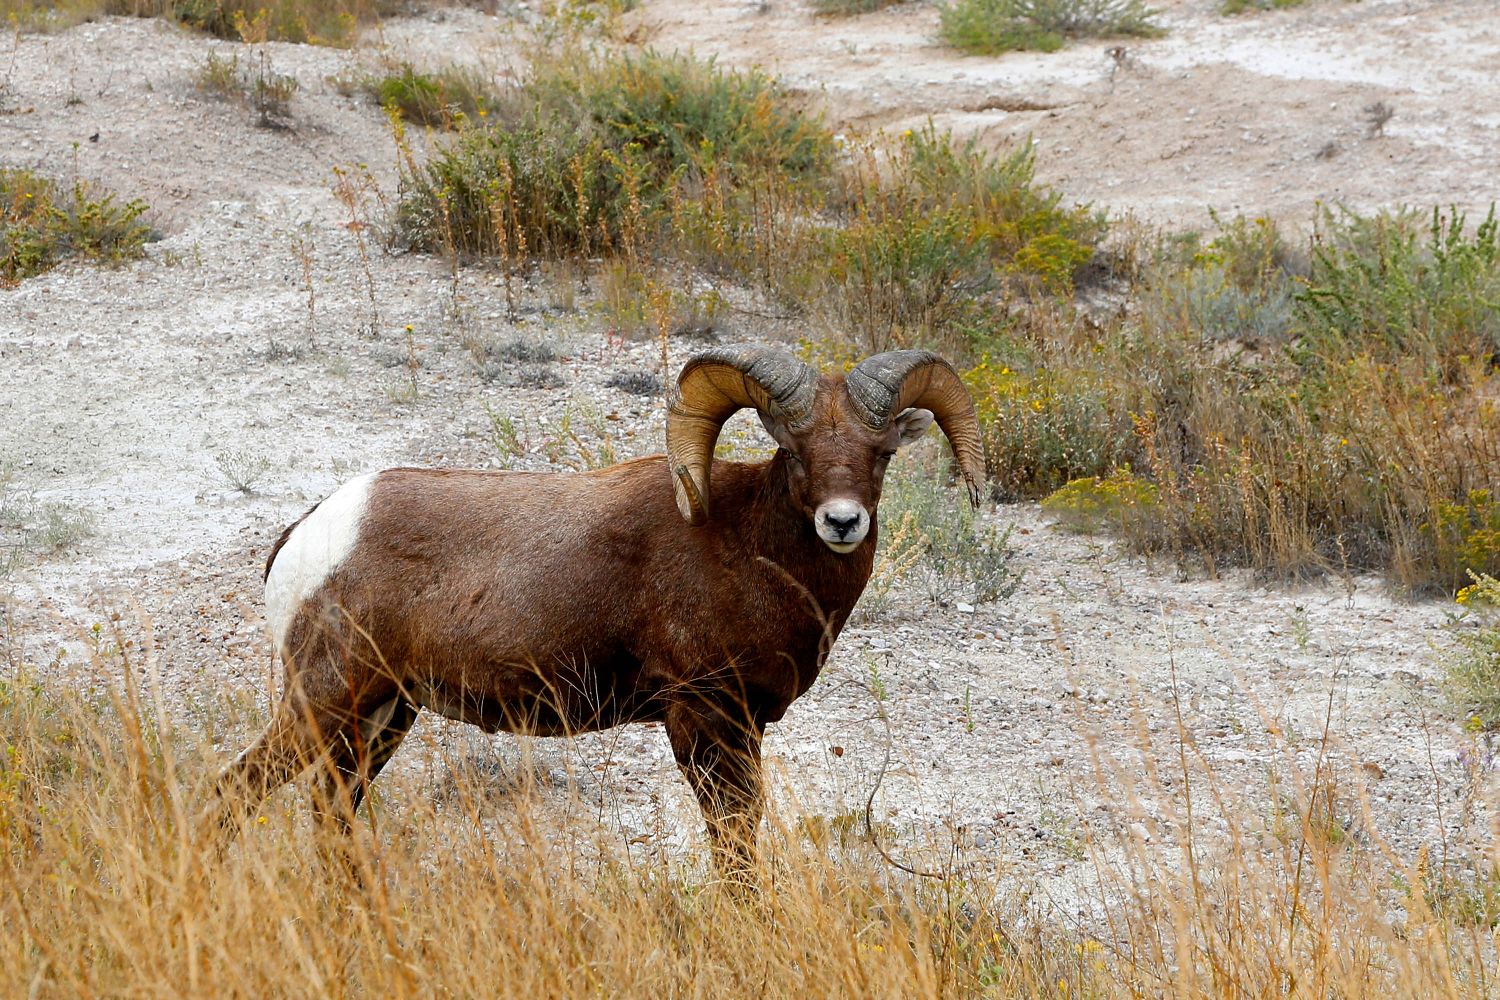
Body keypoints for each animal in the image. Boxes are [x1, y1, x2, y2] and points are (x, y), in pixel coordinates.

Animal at [208, 347, 984, 881]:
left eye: (880, 454)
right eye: (793, 453)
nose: (842, 522)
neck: (746, 549)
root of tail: (311, 532)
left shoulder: (742, 725)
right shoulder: (703, 717)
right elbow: (731, 841)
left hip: (382, 716)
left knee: (331, 812)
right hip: (324, 701)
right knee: (234, 793)